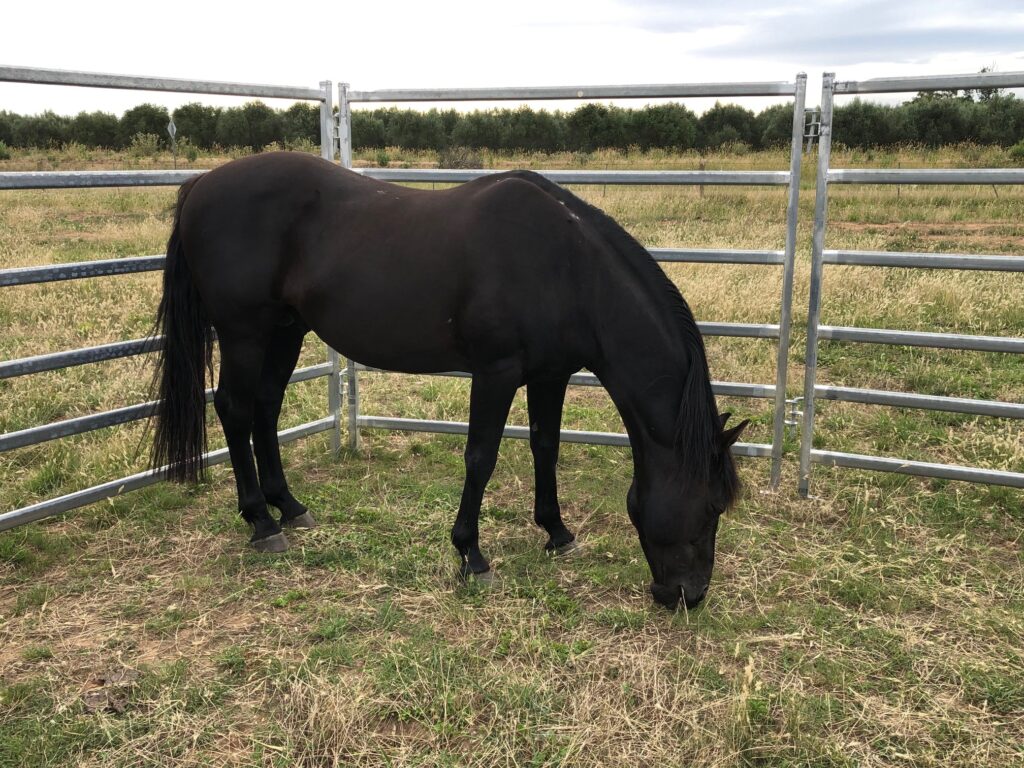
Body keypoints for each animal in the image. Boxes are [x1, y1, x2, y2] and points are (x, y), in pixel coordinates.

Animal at [149, 153, 745, 610]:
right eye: (711, 506)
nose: (688, 595)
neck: (566, 264)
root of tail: (202, 183)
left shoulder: (550, 374)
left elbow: (545, 447)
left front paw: (556, 533)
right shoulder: (496, 372)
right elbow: (481, 457)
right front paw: (471, 555)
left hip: (285, 329)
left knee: (267, 407)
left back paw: (289, 508)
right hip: (244, 332)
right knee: (234, 408)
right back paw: (260, 522)